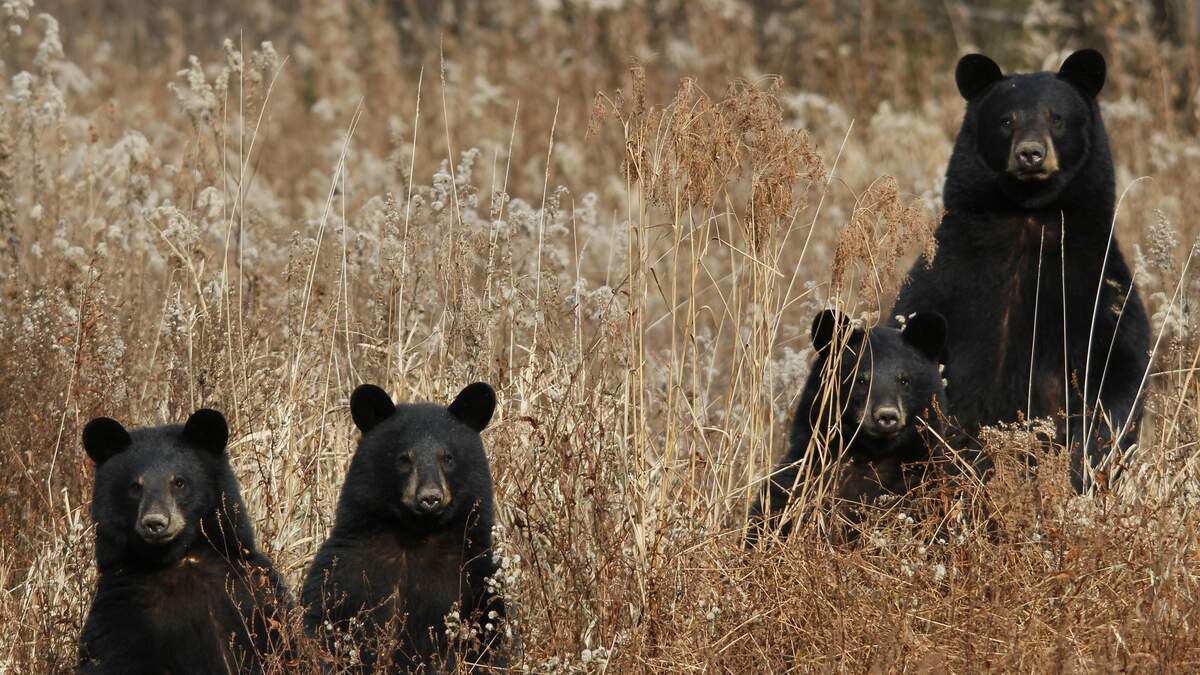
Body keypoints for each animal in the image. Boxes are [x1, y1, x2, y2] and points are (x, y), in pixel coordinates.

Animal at [78, 409, 293, 675]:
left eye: (179, 482)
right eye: (135, 487)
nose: (155, 523)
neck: (180, 559)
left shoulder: (251, 594)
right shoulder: (121, 612)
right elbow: (112, 658)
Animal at [301, 382, 507, 673]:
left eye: (447, 457)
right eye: (404, 459)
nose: (430, 497)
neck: (416, 535)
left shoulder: (477, 576)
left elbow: (490, 636)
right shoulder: (344, 569)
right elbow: (321, 620)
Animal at [749, 309, 950, 541]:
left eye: (904, 380)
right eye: (860, 380)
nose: (887, 416)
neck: (871, 455)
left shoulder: (921, 482)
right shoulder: (804, 478)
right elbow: (774, 512)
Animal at [890, 49, 1151, 491]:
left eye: (1056, 117)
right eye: (1006, 120)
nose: (1030, 153)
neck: (1028, 219)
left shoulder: (1094, 283)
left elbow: (1120, 366)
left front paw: (1082, 461)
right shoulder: (945, 279)